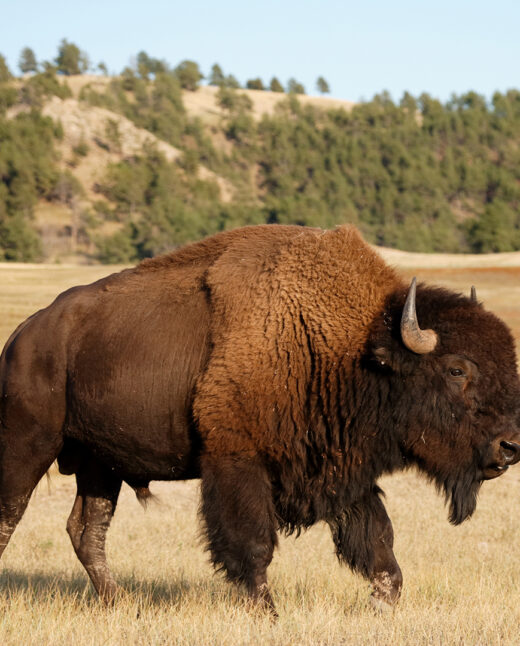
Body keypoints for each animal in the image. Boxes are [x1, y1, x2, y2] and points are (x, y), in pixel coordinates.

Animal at [1, 224, 520, 614]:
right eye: (457, 370)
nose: (510, 447)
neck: (351, 348)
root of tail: (23, 335)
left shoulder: (342, 473)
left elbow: (379, 546)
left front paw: (382, 607)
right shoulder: (237, 463)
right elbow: (252, 545)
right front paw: (267, 615)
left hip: (99, 464)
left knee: (87, 531)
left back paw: (121, 604)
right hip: (28, 446)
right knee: (13, 516)